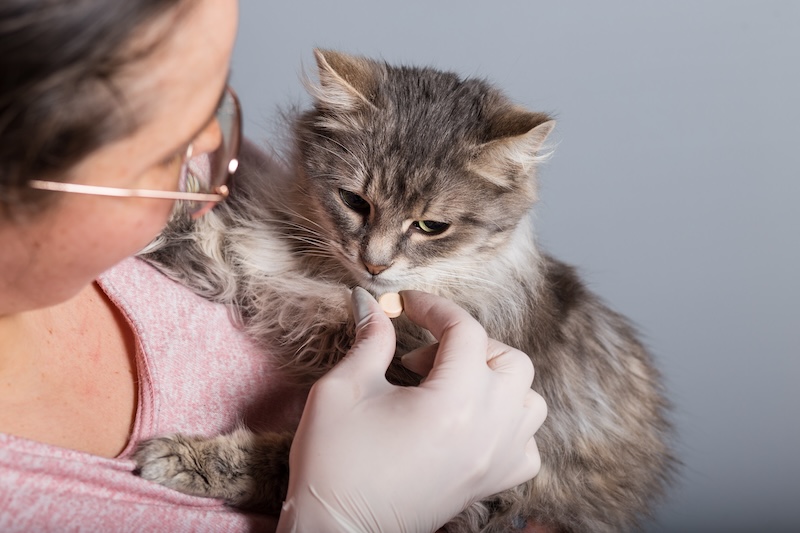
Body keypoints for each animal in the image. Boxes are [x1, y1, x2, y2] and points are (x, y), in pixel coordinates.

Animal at [136, 50, 676, 532]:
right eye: (354, 201)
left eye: (431, 226)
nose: (374, 263)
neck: (339, 286)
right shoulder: (254, 273)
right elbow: (194, 237)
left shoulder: (485, 483)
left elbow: (285, 457)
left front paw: (186, 457)